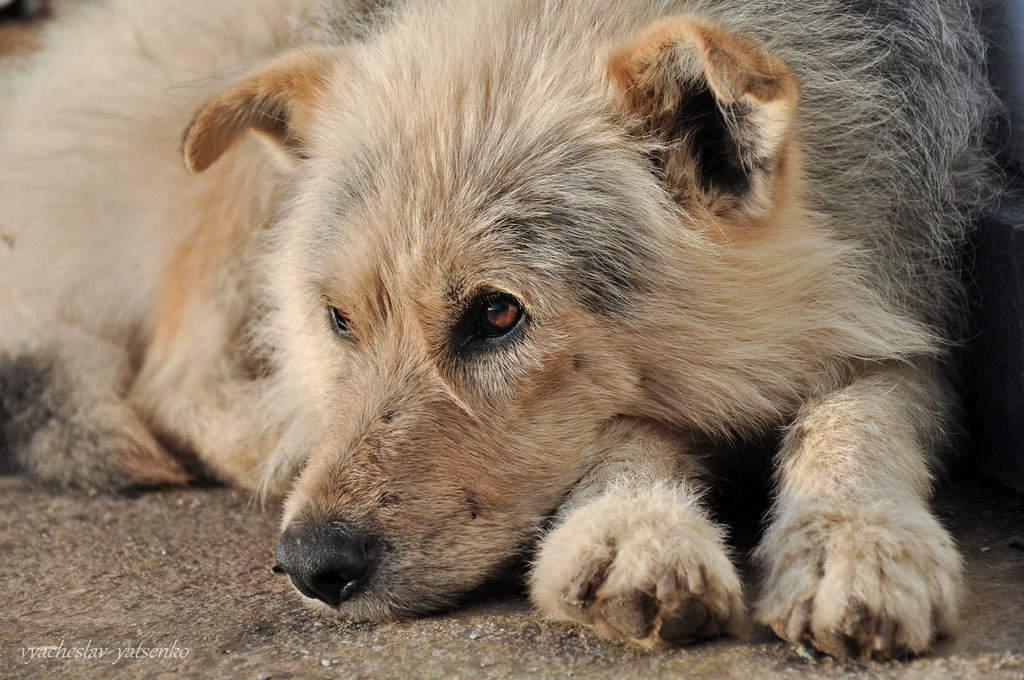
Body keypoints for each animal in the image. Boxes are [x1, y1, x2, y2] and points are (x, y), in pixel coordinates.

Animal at [0, 0, 995, 659]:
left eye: (497, 313)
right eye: (340, 319)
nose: (311, 566)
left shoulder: (909, 309)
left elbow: (860, 412)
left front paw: (853, 539)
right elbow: (630, 432)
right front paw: (633, 525)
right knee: (176, 380)